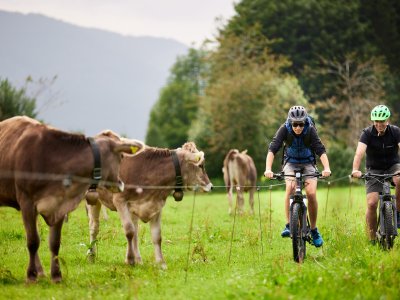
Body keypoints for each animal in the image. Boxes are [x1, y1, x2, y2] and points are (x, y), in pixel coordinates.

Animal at [0, 116, 144, 282]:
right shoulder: (27, 203)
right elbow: (32, 241)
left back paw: (41, 272)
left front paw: (56, 276)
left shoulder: (60, 205)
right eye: (121, 157)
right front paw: (31, 276)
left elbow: (54, 242)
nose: (121, 184)